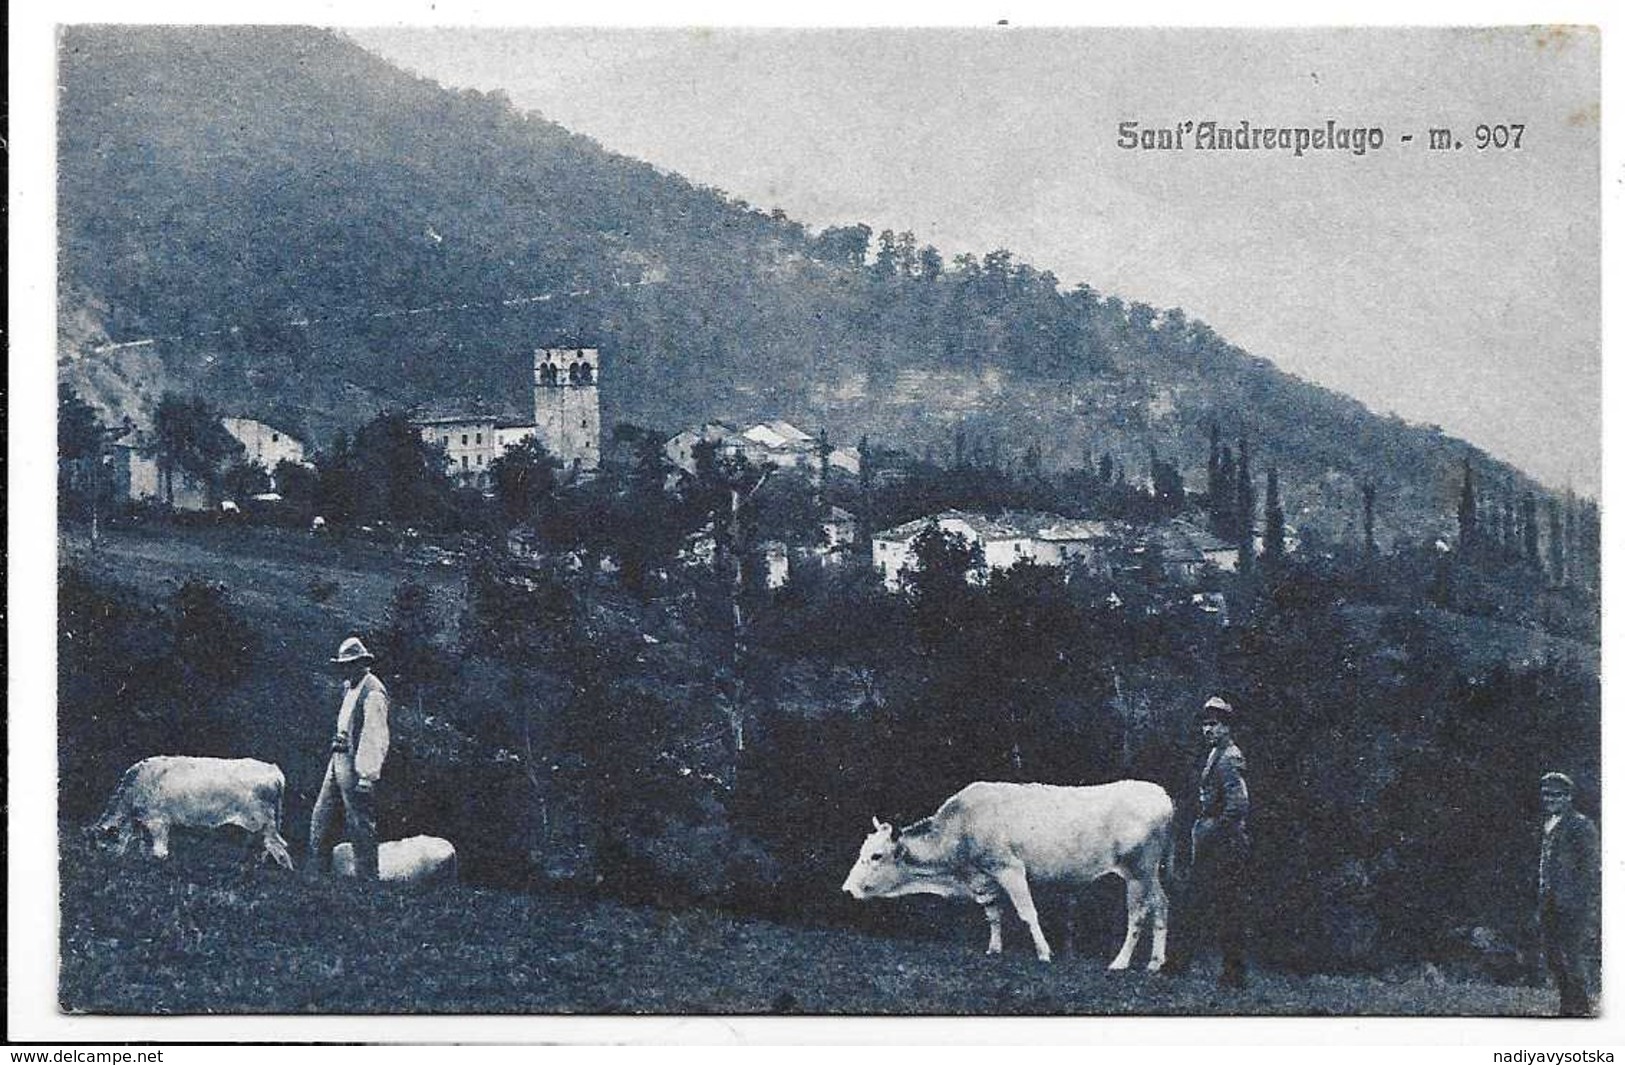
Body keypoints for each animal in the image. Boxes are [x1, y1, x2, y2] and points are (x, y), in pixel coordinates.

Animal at [93, 754, 295, 871]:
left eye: (101, 843)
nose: (104, 860)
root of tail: (273, 769)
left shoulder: (158, 820)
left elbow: (159, 848)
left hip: (264, 822)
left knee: (278, 847)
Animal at [845, 780, 1176, 969]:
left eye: (876, 856)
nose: (847, 889)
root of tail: (1161, 794)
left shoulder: (1009, 868)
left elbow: (1027, 913)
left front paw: (1044, 953)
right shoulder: (985, 877)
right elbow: (993, 913)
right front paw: (994, 949)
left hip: (1138, 871)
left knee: (1138, 914)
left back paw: (1120, 962)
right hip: (1151, 874)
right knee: (1161, 904)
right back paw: (1155, 962)